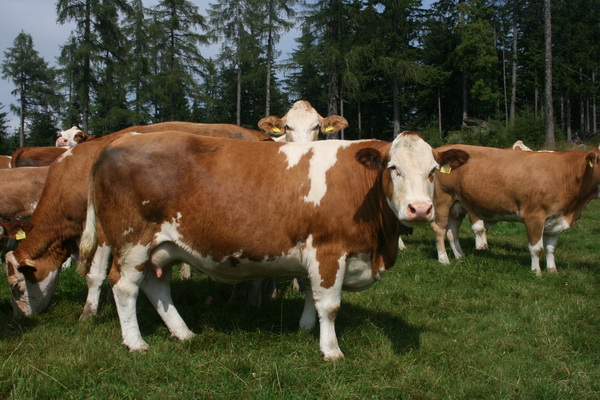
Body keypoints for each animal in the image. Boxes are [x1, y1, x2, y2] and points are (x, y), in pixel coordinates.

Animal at [3, 122, 274, 318]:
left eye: (16, 287)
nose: (19, 318)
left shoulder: (103, 231)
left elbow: (95, 275)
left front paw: (89, 313)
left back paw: (252, 301)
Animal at [70, 130, 472, 360]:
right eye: (392, 168)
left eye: (433, 170)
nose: (419, 209)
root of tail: (115, 143)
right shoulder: (329, 250)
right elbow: (330, 305)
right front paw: (330, 350)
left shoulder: (315, 254)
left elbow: (310, 294)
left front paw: (306, 328)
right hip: (132, 241)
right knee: (125, 287)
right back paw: (136, 343)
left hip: (163, 247)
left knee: (157, 287)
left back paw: (184, 333)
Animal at [432, 144, 600, 276]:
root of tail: (439, 151)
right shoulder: (534, 216)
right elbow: (537, 248)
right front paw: (536, 272)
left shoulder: (555, 219)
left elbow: (551, 248)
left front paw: (552, 271)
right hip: (442, 200)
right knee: (439, 229)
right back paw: (444, 260)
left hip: (458, 205)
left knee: (452, 232)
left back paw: (460, 256)